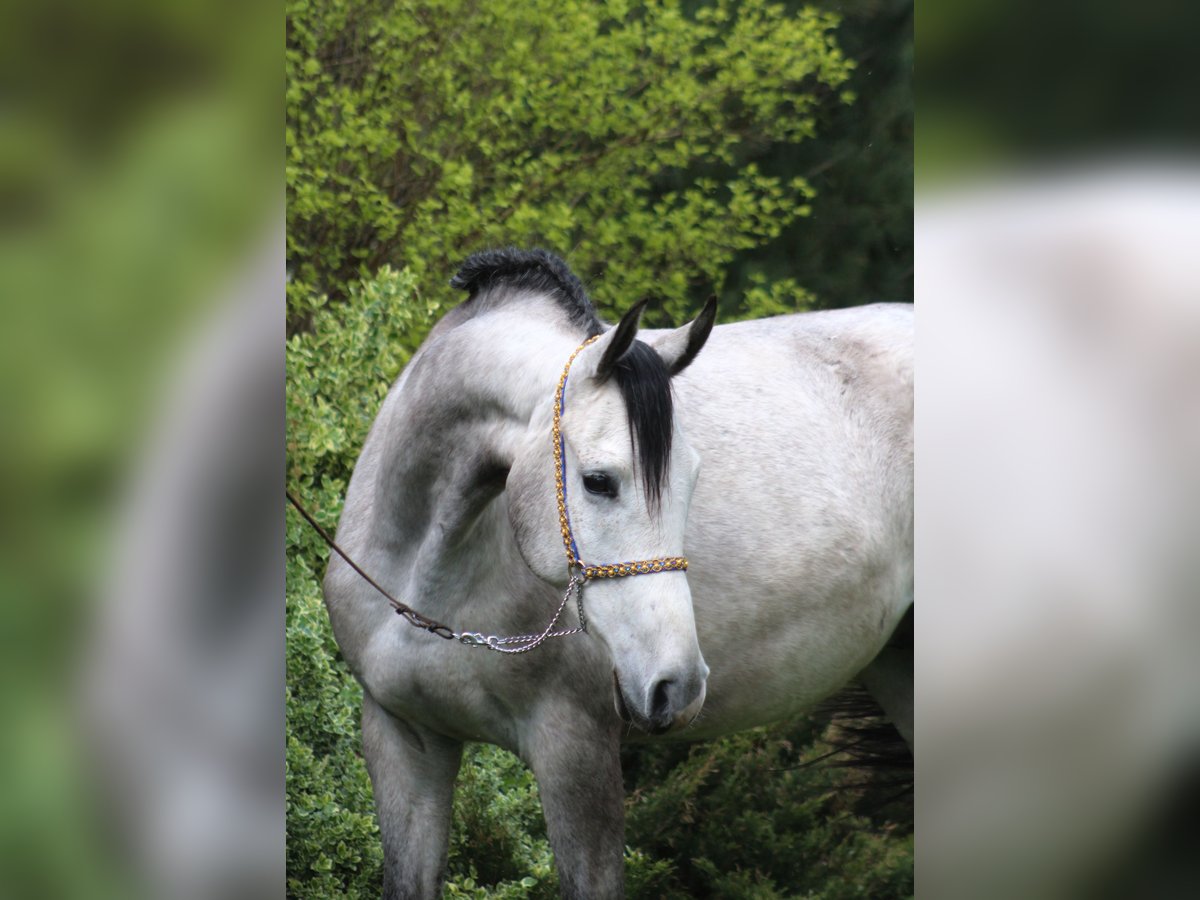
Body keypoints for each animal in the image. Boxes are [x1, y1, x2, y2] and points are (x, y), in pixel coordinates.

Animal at [324, 250, 912, 897]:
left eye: (693, 479)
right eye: (599, 481)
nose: (678, 686)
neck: (425, 581)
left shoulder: (576, 754)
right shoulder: (403, 739)